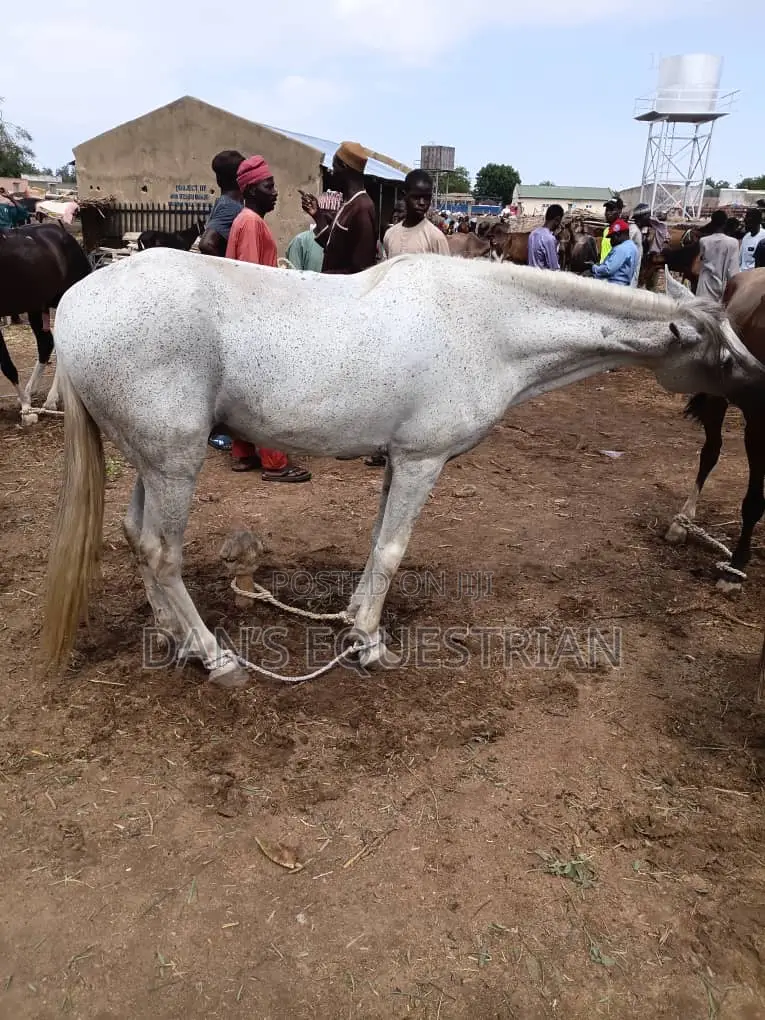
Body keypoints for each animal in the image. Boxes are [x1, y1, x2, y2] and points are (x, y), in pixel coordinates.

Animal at [0, 222, 91, 411]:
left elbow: (6, 365)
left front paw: (26, 407)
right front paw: (25, 400)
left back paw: (50, 399)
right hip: (36, 307)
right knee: (46, 343)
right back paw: (33, 391)